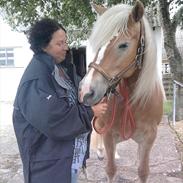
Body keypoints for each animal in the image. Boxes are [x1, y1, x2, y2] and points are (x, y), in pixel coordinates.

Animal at [78, 0, 165, 182]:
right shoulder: (108, 134)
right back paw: (100, 152)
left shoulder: (148, 138)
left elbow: (143, 170)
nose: (85, 91)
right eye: (99, 45)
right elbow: (111, 170)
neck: (135, 101)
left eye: (123, 45)